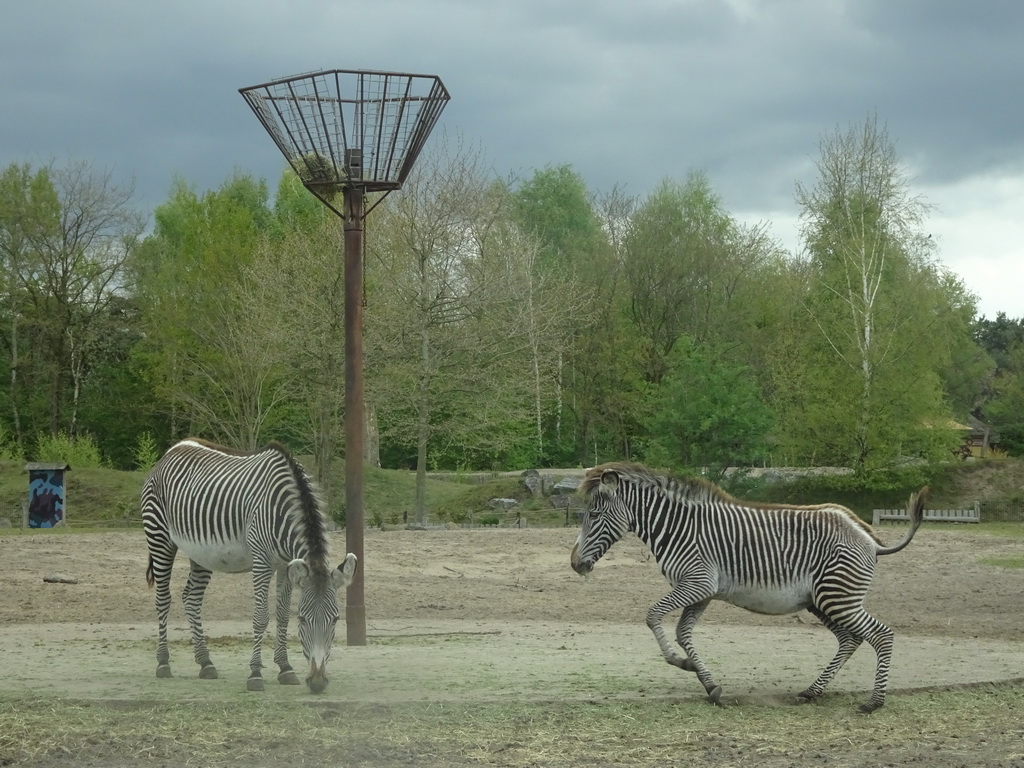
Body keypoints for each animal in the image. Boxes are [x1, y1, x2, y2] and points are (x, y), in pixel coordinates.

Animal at [140, 438, 356, 696]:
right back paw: (163, 663)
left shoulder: (286, 564)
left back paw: (206, 663)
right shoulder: (262, 560)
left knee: (191, 599)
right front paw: (255, 674)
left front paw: (285, 668)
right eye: (303, 619)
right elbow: (261, 617)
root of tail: (174, 448)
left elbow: (282, 615)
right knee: (164, 598)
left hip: (201, 554)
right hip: (159, 537)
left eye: (335, 619)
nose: (317, 683)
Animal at [573, 460, 933, 712]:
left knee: (881, 635)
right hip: (820, 601)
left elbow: (652, 615)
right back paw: (812, 691)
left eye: (593, 514)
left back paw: (873, 702)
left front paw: (679, 663)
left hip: (838, 598)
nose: (575, 564)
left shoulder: (697, 583)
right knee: (850, 639)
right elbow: (683, 633)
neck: (678, 528)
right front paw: (707, 683)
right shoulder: (702, 591)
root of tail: (868, 536)